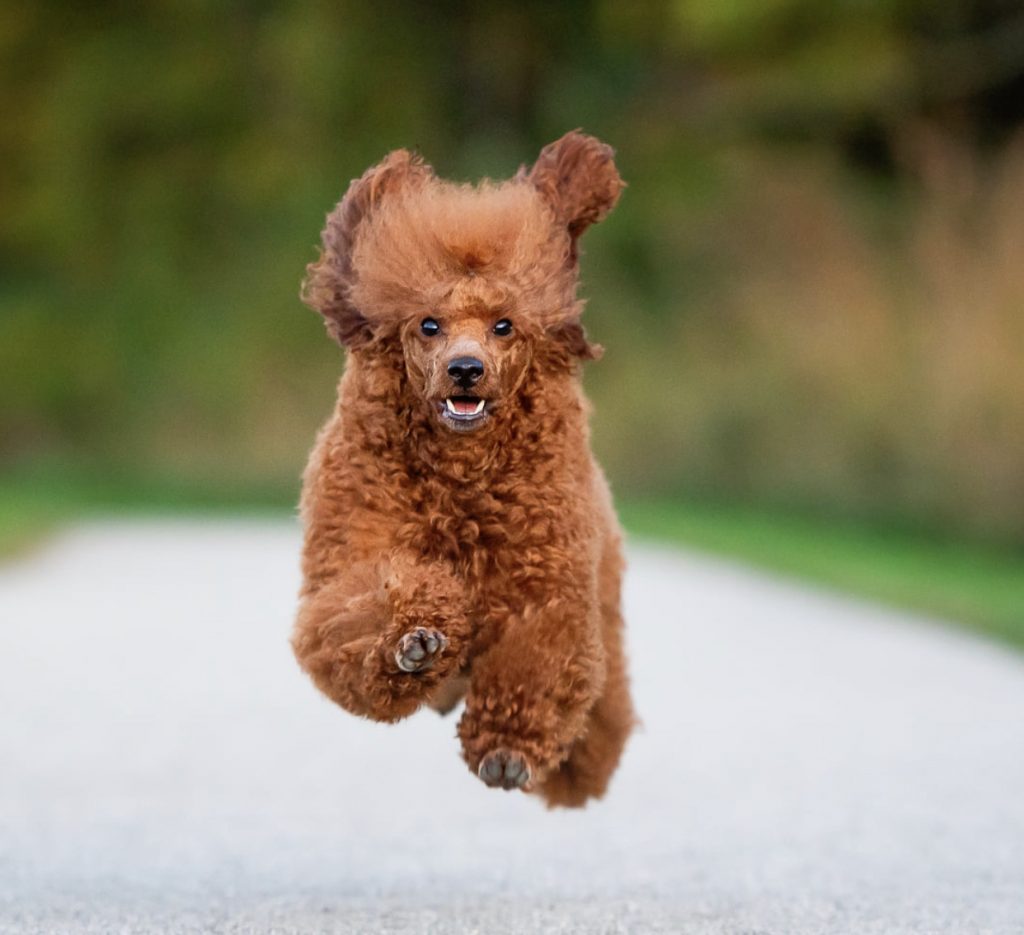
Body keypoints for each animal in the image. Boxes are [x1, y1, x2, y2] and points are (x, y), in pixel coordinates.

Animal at [290, 127, 630, 806]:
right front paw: (413, 641)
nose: (465, 369)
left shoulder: (547, 582)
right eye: (428, 324)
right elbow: (357, 607)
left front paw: (506, 749)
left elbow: (539, 651)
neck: (461, 476)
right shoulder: (349, 558)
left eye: (504, 326)